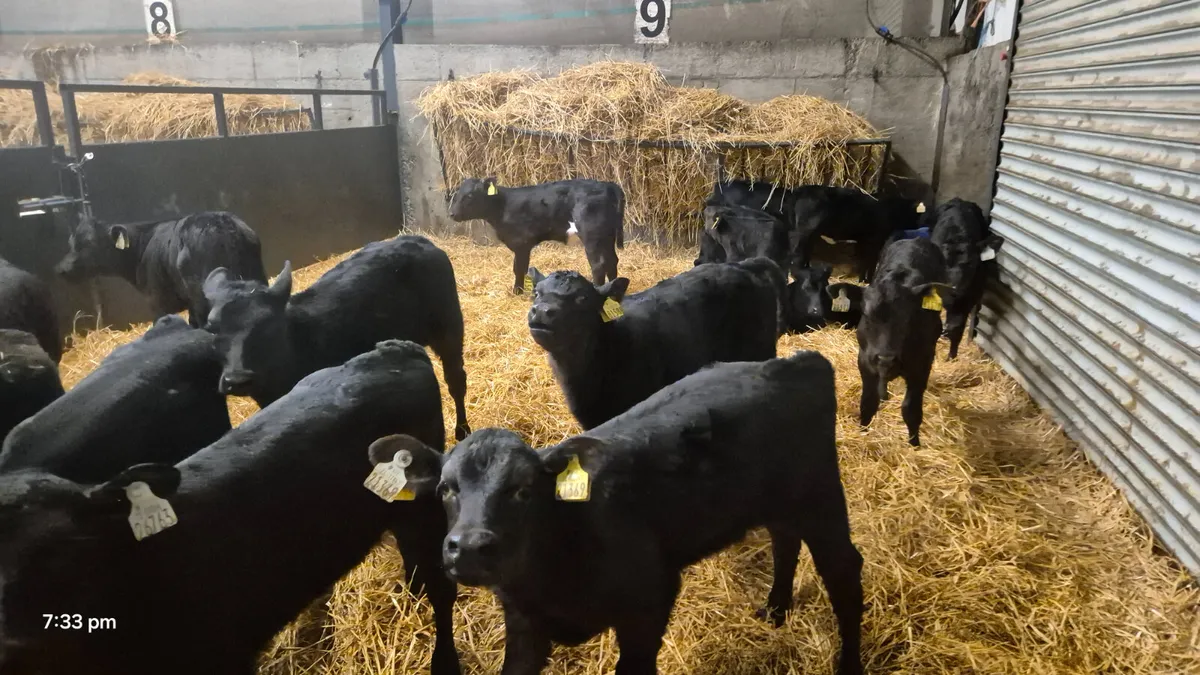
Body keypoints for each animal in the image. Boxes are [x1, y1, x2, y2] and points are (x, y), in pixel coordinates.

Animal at [201, 235, 470, 440]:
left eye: (268, 327)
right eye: (212, 329)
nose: (237, 379)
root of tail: (417, 239)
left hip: (449, 329)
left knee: (456, 379)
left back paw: (462, 430)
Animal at [380, 349, 864, 675]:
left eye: (522, 490)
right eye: (445, 489)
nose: (468, 547)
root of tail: (794, 362)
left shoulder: (649, 601)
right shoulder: (523, 623)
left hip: (821, 497)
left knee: (844, 573)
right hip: (780, 501)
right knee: (785, 540)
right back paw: (776, 610)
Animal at [447, 177, 624, 294]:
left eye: (470, 195)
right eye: (457, 194)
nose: (452, 214)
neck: (503, 206)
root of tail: (607, 184)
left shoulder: (521, 242)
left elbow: (519, 268)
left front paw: (517, 291)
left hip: (592, 236)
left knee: (598, 265)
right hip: (607, 236)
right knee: (612, 261)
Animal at [856, 237, 950, 446]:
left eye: (909, 317)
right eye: (866, 314)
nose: (886, 358)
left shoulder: (922, 364)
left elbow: (911, 410)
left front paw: (915, 444)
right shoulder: (864, 360)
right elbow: (867, 402)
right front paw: (862, 433)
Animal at [928, 198, 1004, 359]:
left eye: (971, 263)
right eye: (941, 262)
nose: (954, 289)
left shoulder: (969, 297)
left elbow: (957, 328)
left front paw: (951, 356)